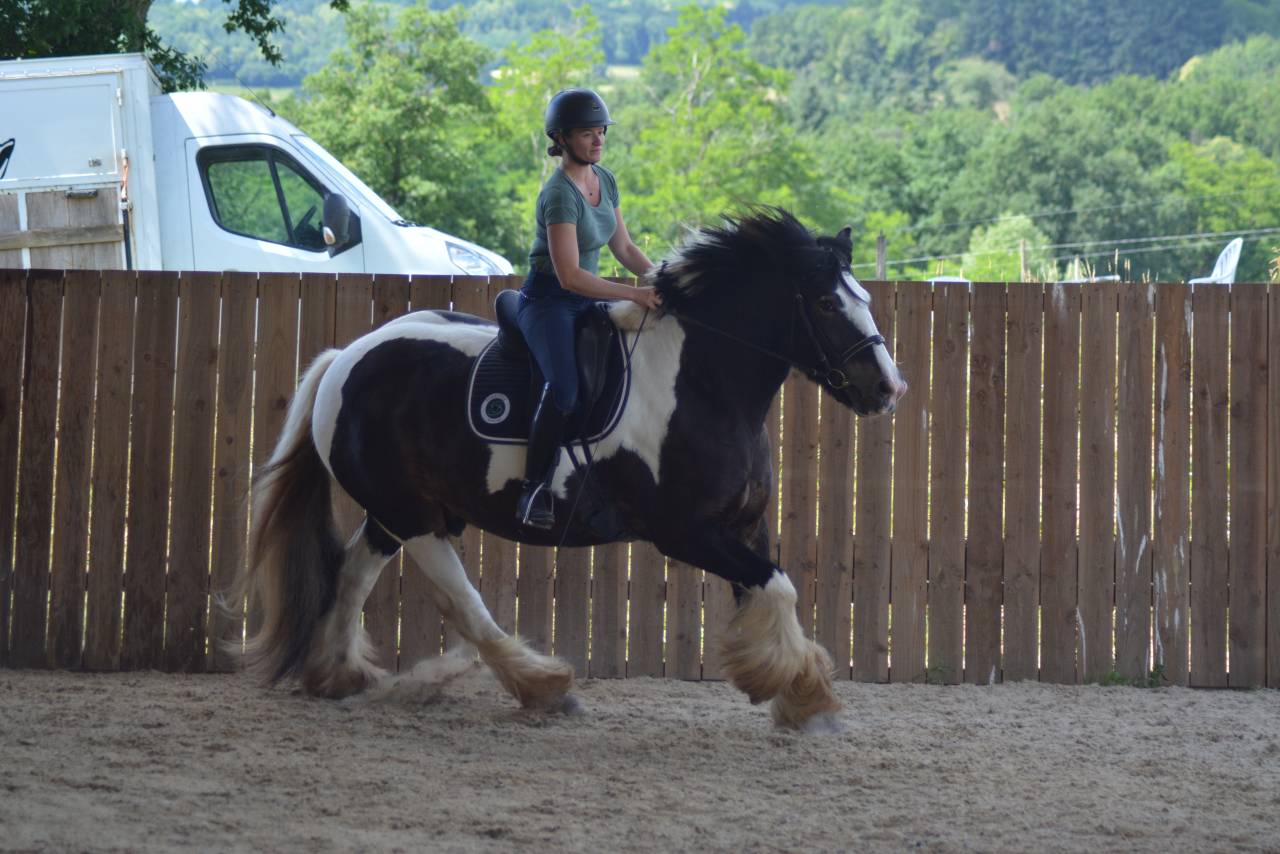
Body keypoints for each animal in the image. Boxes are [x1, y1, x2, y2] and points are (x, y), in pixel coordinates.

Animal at [234, 207, 906, 730]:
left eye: (865, 299)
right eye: (826, 302)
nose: (888, 387)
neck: (702, 384)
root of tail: (344, 358)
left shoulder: (742, 527)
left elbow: (771, 589)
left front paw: (802, 694)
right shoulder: (686, 533)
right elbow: (780, 587)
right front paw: (805, 697)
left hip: (396, 514)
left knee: (353, 574)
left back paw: (339, 675)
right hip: (416, 517)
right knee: (462, 601)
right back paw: (543, 687)